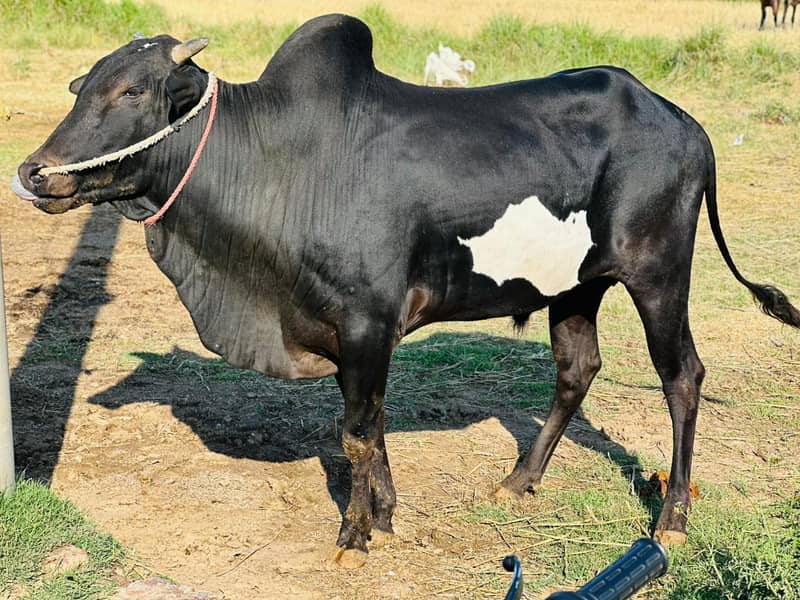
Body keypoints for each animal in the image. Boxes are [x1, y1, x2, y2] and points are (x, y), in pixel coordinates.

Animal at [12, 14, 800, 568]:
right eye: (80, 87)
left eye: (131, 91)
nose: (34, 172)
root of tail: (684, 121)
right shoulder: (347, 332)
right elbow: (372, 427)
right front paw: (386, 517)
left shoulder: (366, 321)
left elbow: (358, 435)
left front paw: (355, 535)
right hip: (577, 288)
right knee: (578, 369)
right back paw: (520, 480)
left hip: (659, 275)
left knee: (682, 377)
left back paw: (672, 520)